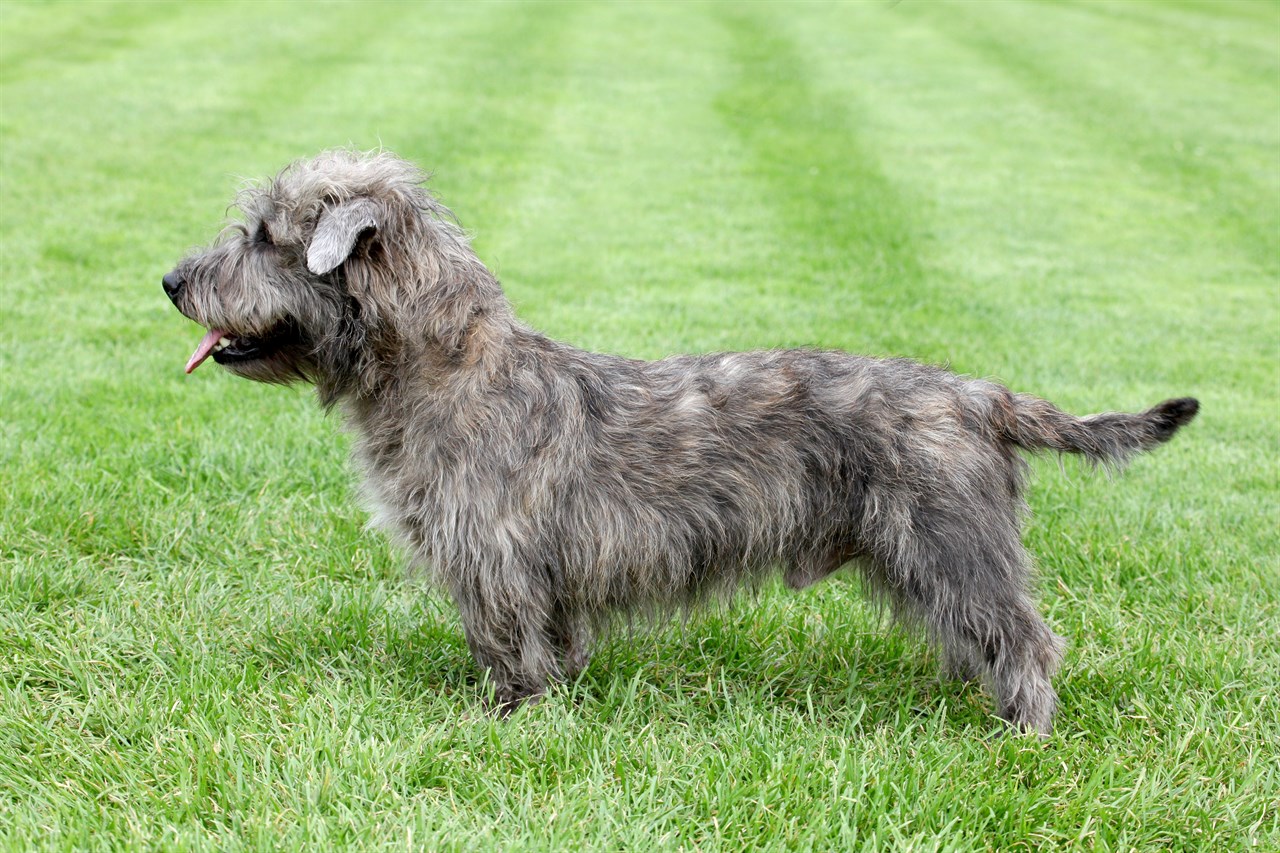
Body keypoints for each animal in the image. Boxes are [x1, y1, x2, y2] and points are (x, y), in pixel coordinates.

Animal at [162, 147, 1198, 732]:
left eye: (264, 237)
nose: (172, 281)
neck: (440, 366)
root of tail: (979, 394)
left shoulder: (493, 558)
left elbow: (507, 644)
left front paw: (508, 723)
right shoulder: (539, 571)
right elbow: (553, 639)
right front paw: (553, 700)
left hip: (950, 544)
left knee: (1027, 636)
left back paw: (1024, 731)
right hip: (928, 556)